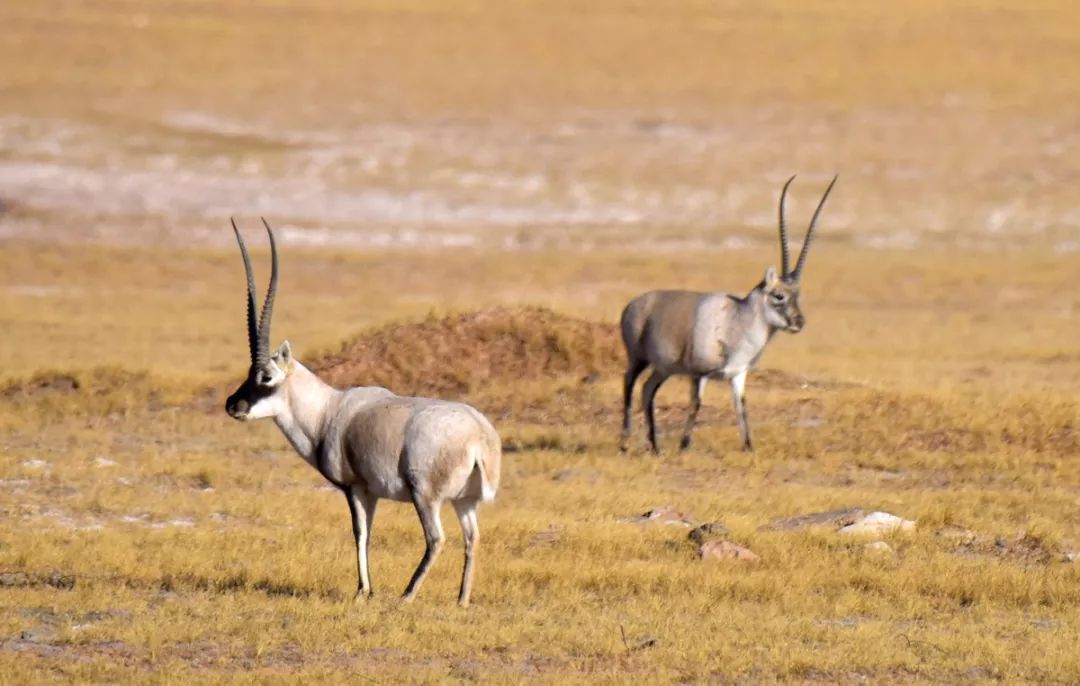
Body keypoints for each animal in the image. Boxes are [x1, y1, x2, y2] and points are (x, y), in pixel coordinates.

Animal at [226, 220, 501, 604]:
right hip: (465, 501)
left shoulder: (356, 487)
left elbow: (360, 532)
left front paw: (363, 590)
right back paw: (461, 599)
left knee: (436, 538)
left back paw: (407, 595)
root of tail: (479, 436)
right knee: (472, 537)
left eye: (265, 376)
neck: (327, 411)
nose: (232, 405)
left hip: (425, 497)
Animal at [622, 173, 838, 453]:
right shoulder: (698, 374)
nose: (799, 322)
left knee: (647, 389)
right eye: (779, 296)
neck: (737, 319)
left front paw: (749, 446)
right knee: (629, 383)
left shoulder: (737, 375)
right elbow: (696, 405)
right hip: (637, 358)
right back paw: (624, 443)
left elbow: (741, 406)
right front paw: (684, 445)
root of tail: (633, 304)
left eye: (797, 295)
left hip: (663, 368)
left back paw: (655, 446)